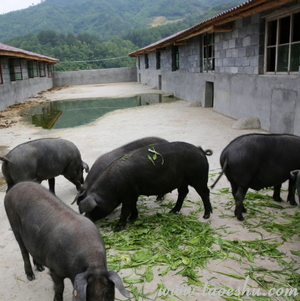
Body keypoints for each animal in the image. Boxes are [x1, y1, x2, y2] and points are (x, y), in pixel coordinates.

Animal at [77, 141, 213, 230]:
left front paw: (117, 228)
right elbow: (133, 207)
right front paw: (133, 219)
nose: (87, 219)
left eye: (93, 209)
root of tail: (201, 150)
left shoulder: (129, 194)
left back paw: (206, 215)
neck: (111, 189)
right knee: (183, 192)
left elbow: (125, 210)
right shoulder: (133, 193)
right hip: (182, 181)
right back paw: (172, 211)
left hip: (199, 178)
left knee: (205, 193)